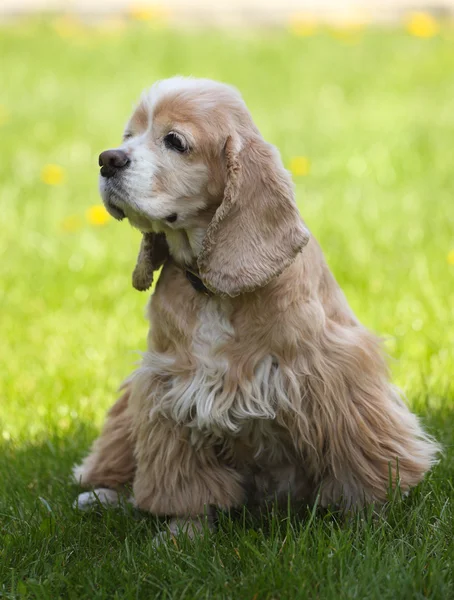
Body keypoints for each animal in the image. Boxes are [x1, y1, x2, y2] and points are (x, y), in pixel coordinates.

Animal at [72, 77, 438, 536]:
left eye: (174, 141)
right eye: (128, 136)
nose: (107, 160)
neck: (212, 288)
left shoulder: (336, 377)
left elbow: (362, 460)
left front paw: (368, 519)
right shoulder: (168, 387)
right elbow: (185, 483)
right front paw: (183, 533)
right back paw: (98, 496)